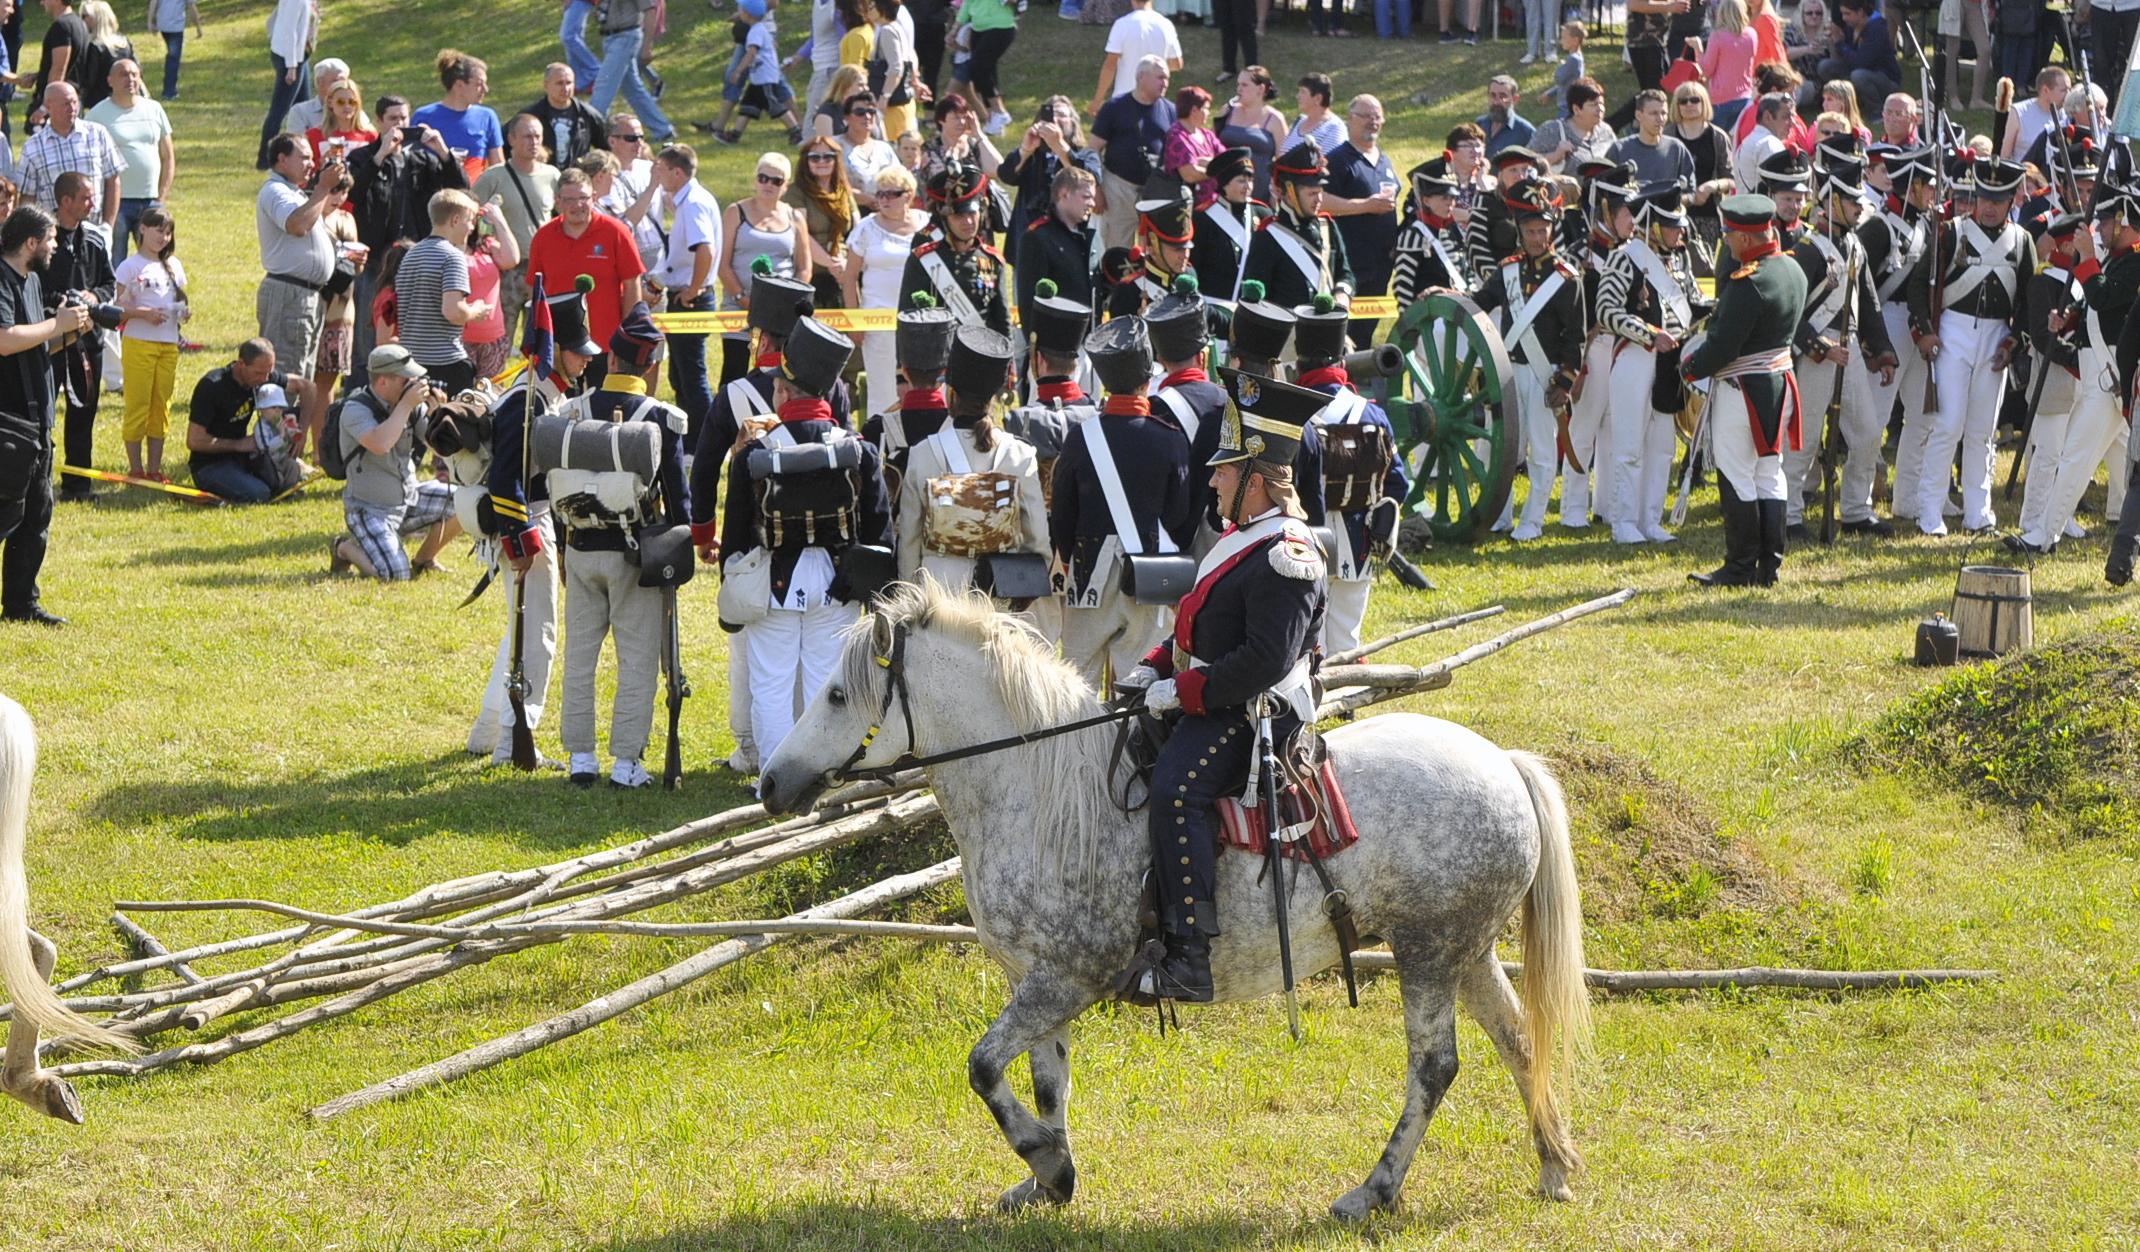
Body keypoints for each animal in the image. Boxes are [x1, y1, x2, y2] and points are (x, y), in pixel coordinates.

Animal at [761, 577, 1600, 1224]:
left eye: (836, 693)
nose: (770, 783)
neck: (1041, 793)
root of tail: (1505, 763)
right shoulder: (1035, 977)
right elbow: (1043, 1081)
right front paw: (1045, 1180)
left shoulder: (1067, 975)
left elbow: (983, 1068)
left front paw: (1048, 1165)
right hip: (1468, 951)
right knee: (1519, 1040)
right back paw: (1554, 1165)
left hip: (1426, 951)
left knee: (1434, 1067)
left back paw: (1372, 1191)